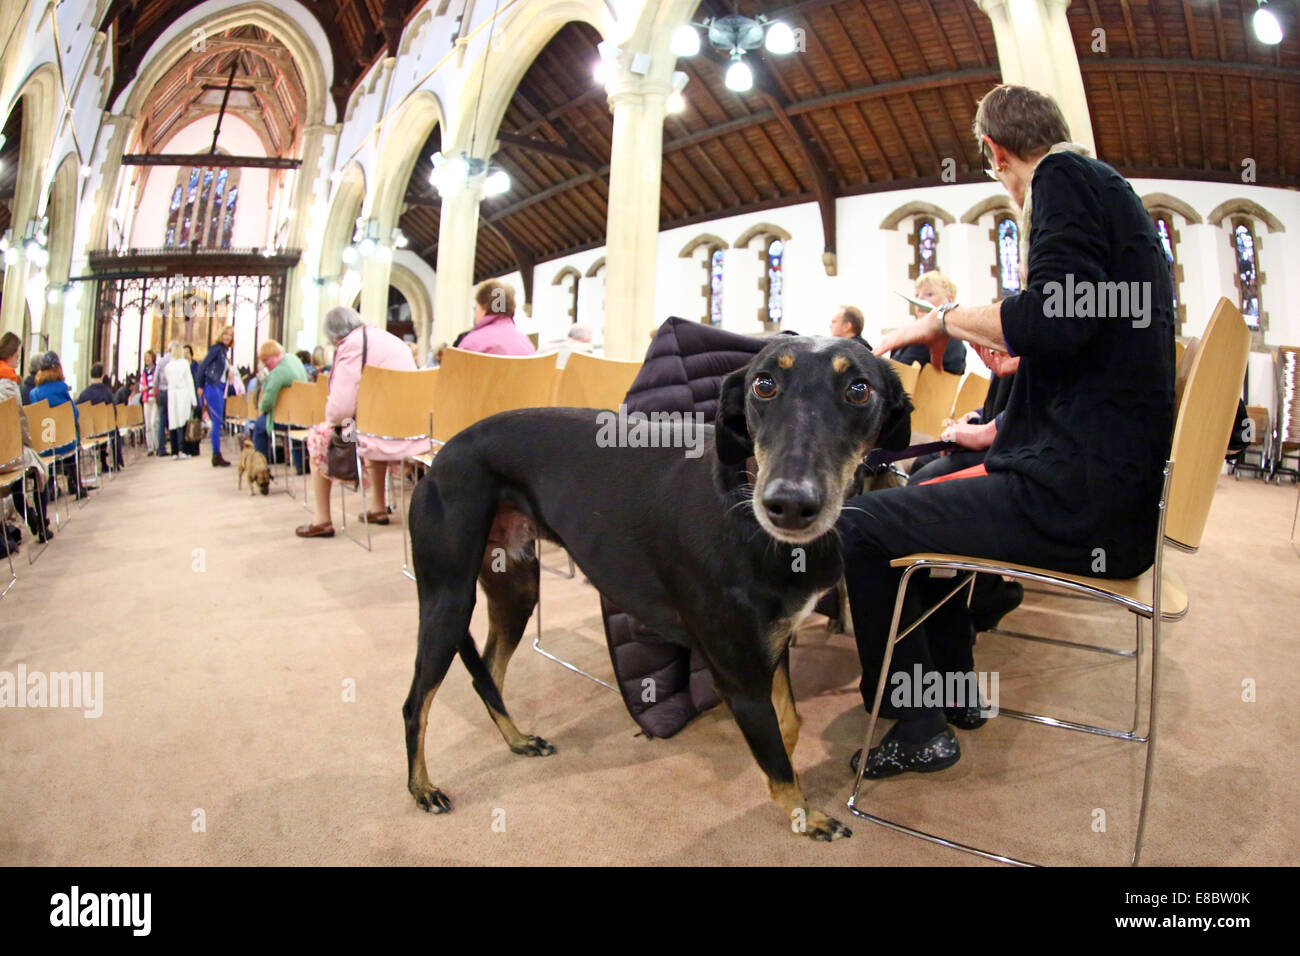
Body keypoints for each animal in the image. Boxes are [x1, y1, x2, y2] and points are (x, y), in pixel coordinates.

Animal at [400, 335, 909, 837]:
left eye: (859, 390)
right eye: (763, 384)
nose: (789, 505)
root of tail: (445, 452)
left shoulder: (774, 643)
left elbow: (789, 722)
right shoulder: (739, 676)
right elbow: (778, 761)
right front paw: (804, 815)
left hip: (516, 589)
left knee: (487, 672)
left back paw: (517, 739)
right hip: (448, 599)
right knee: (415, 703)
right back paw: (422, 788)